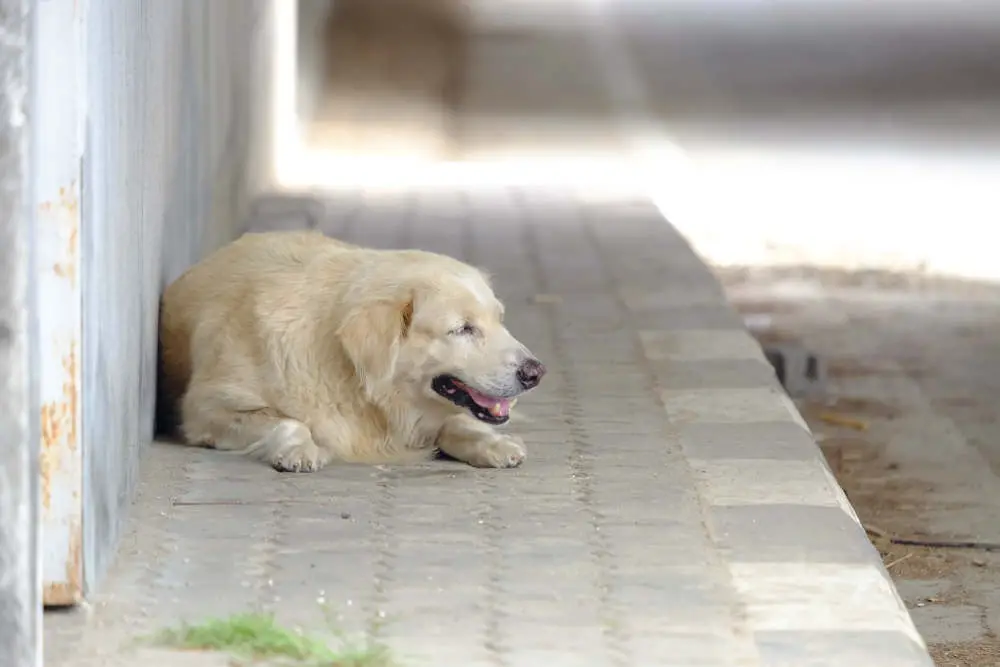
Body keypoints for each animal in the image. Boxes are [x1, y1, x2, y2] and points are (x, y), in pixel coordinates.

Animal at [157, 232, 548, 472]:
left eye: (499, 320)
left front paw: (492, 443)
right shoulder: (206, 408)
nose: (536, 372)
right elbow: (290, 421)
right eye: (462, 329)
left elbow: (457, 422)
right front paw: (300, 449)